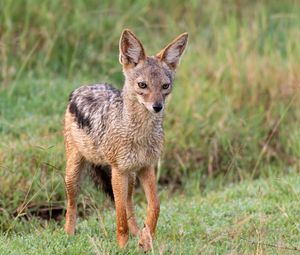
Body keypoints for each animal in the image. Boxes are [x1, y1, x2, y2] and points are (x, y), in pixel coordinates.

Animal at [63, 28, 188, 251]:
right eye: (142, 85)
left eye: (165, 86)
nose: (157, 107)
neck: (140, 134)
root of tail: (82, 88)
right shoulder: (118, 171)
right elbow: (119, 216)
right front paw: (122, 246)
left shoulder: (146, 167)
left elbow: (154, 206)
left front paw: (146, 240)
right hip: (75, 173)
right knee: (72, 203)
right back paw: (68, 234)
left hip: (130, 177)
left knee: (129, 203)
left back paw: (138, 232)